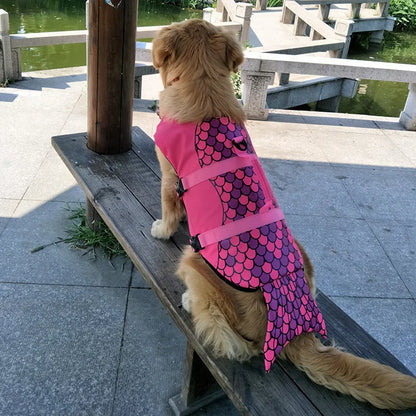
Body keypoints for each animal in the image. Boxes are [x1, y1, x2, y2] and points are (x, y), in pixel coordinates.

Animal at [151, 17, 416, 408]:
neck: (202, 82)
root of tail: (295, 332)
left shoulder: (170, 176)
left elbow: (169, 209)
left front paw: (161, 228)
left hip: (193, 262)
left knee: (235, 342)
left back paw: (188, 300)